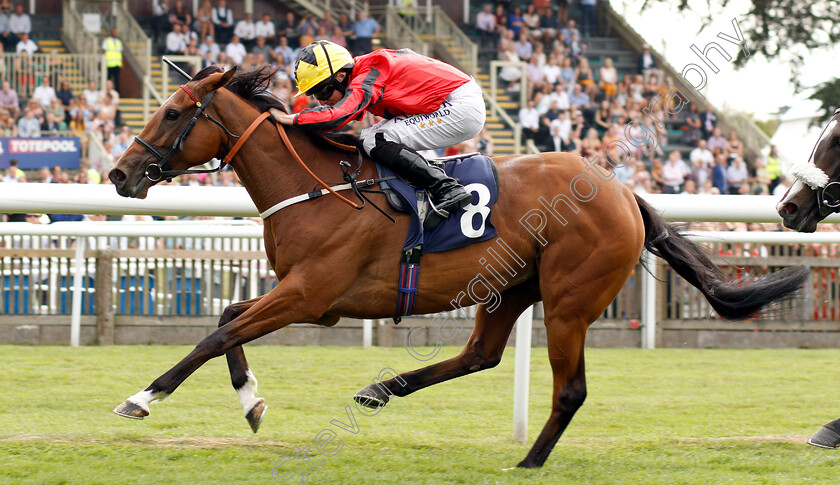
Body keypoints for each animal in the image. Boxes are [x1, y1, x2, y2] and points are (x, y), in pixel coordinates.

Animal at [110, 66, 808, 466]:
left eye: (174, 112)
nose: (119, 174)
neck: (318, 186)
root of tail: (619, 189)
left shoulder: (309, 295)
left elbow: (218, 331)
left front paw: (142, 398)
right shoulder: (301, 295)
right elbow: (227, 316)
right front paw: (252, 401)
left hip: (570, 299)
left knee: (569, 388)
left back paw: (528, 462)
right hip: (511, 288)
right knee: (481, 355)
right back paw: (381, 389)